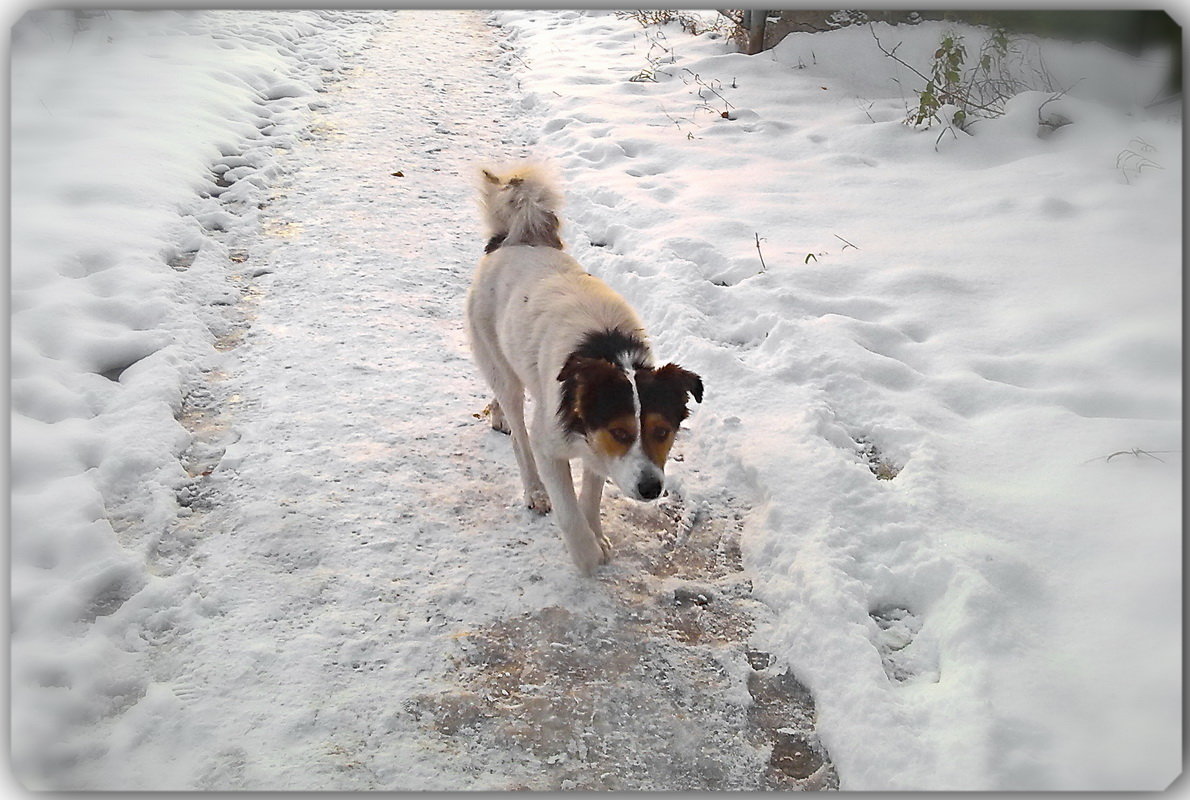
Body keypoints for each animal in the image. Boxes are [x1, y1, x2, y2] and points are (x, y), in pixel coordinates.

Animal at [466, 164, 704, 576]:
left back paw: (497, 415)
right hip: (502, 368)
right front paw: (587, 552)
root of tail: (510, 242)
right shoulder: (551, 445)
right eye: (621, 432)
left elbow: (591, 495)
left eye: (662, 431)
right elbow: (569, 511)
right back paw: (533, 487)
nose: (651, 489)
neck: (613, 354)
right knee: (518, 432)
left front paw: (597, 533)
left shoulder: (598, 450)